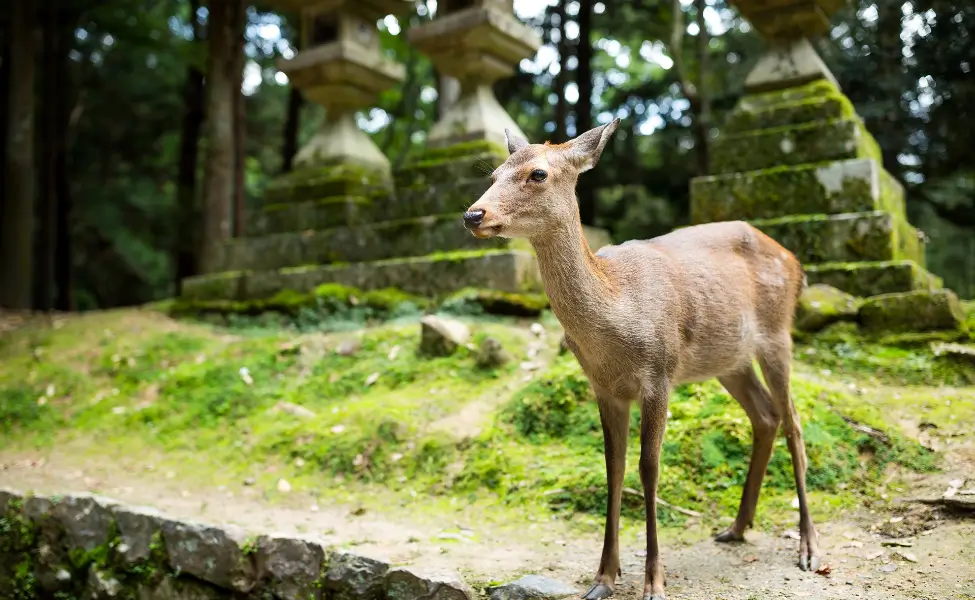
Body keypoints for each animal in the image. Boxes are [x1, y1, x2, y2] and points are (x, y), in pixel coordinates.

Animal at [461, 118, 820, 600]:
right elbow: (613, 467)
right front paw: (603, 578)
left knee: (795, 421)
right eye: (495, 173)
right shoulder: (603, 387)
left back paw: (809, 547)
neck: (617, 315)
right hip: (730, 360)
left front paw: (654, 581)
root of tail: (795, 260)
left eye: (538, 173)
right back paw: (736, 527)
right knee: (765, 416)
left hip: (778, 334)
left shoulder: (659, 374)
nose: (474, 215)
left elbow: (648, 467)